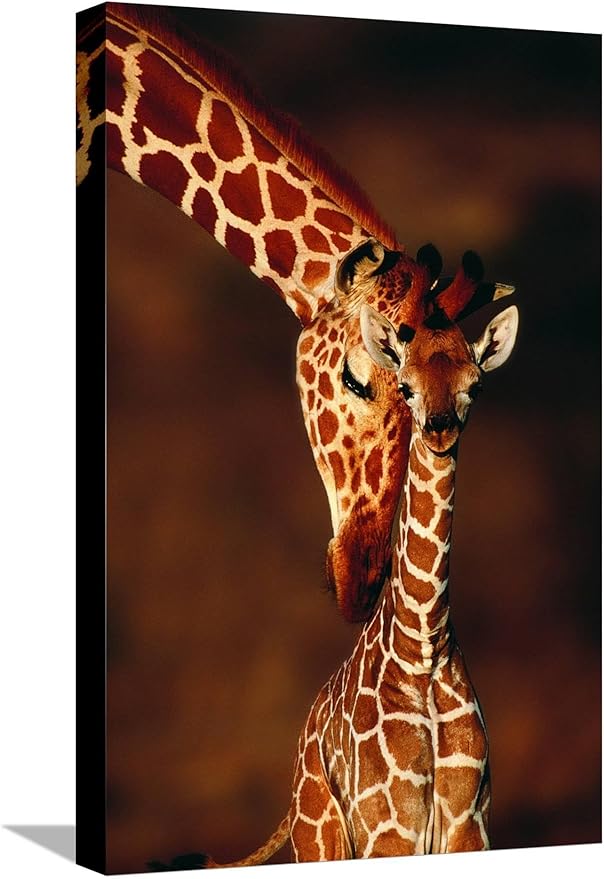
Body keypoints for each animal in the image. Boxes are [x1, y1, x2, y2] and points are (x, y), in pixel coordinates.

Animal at [194, 292, 519, 866]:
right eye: (406, 385)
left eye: (474, 384)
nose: (439, 428)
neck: (423, 646)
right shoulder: (389, 830)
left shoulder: (470, 826)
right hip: (321, 838)